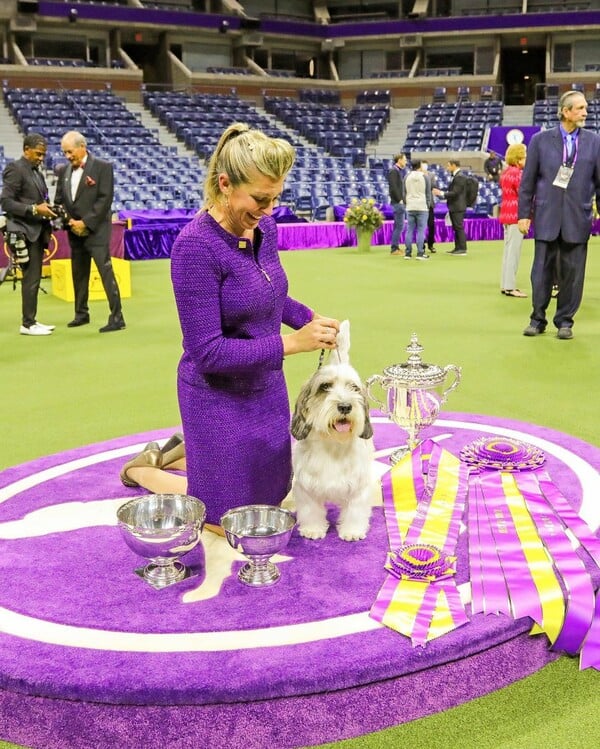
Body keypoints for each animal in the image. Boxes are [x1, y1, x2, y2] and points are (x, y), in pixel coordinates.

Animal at [290, 318, 376, 540]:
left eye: (354, 388)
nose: (345, 406)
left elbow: (355, 511)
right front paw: (313, 529)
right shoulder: (305, 486)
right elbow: (311, 510)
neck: (334, 445)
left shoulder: (360, 487)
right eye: (325, 387)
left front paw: (352, 531)